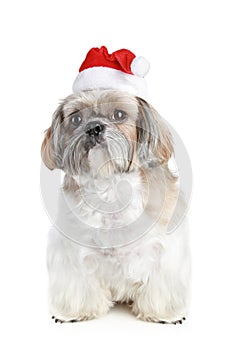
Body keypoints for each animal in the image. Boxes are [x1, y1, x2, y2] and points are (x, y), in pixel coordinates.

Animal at [41, 47, 191, 326]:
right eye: (76, 119)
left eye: (119, 115)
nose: (93, 128)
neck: (110, 186)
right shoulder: (70, 250)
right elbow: (77, 281)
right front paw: (75, 312)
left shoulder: (165, 248)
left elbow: (161, 282)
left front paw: (163, 314)